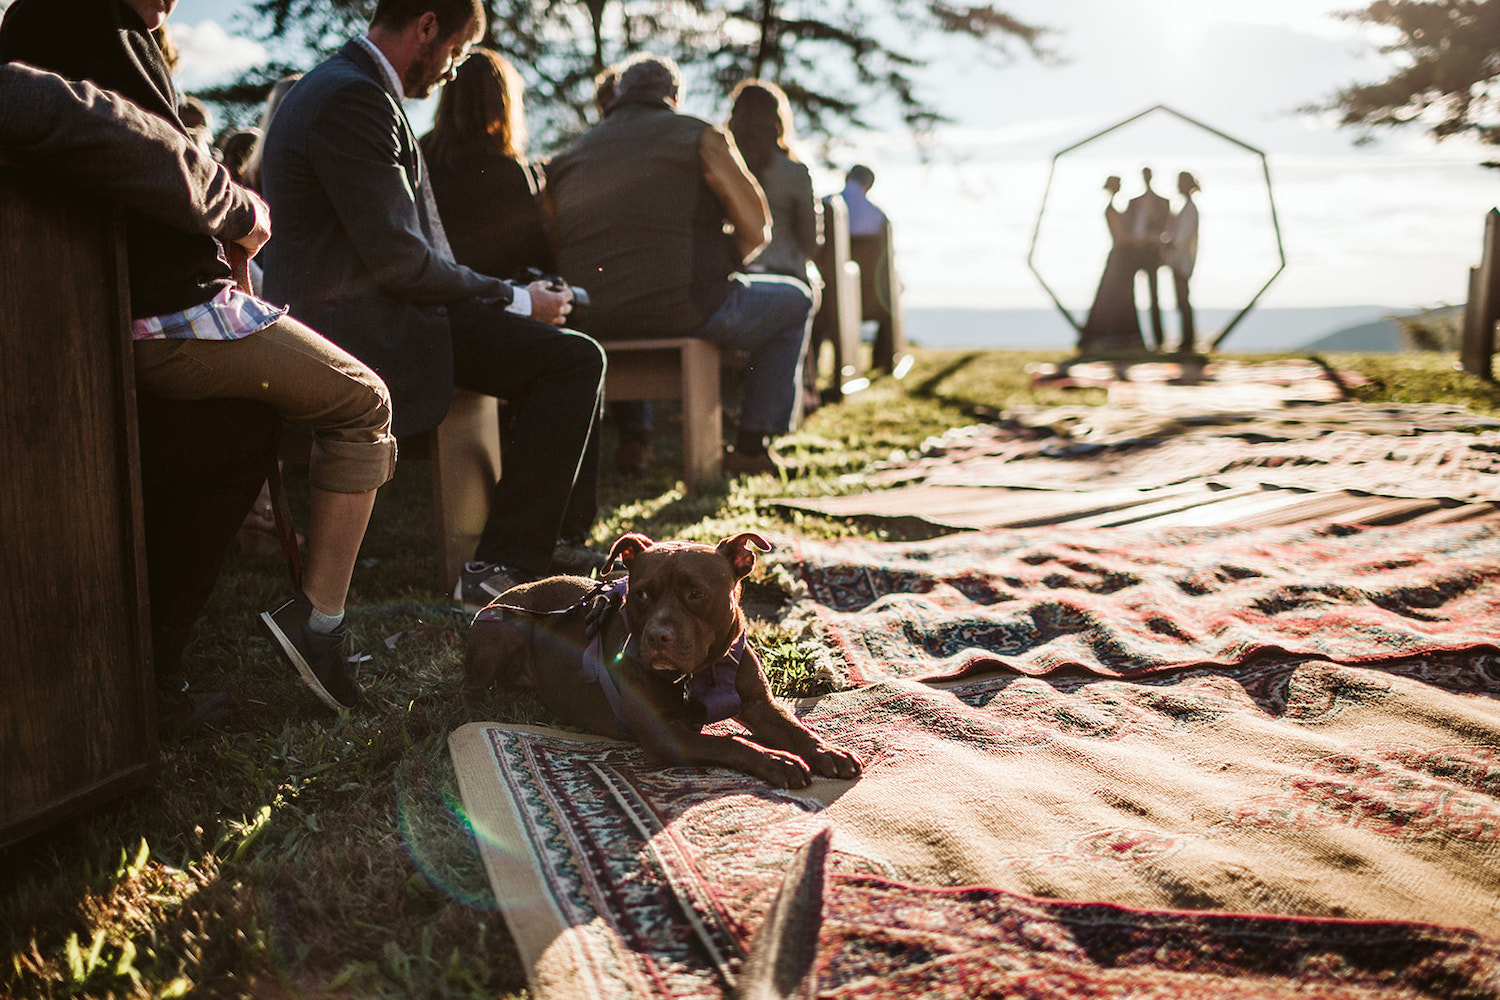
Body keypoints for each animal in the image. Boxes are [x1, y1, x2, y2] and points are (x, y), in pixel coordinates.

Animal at [462, 530, 864, 791]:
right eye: (641, 594)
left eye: (696, 594)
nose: (658, 637)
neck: (704, 670)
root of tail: (501, 597)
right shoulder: (666, 735)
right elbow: (731, 742)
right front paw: (776, 760)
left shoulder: (759, 704)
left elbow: (796, 728)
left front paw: (827, 751)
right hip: (502, 629)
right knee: (470, 685)